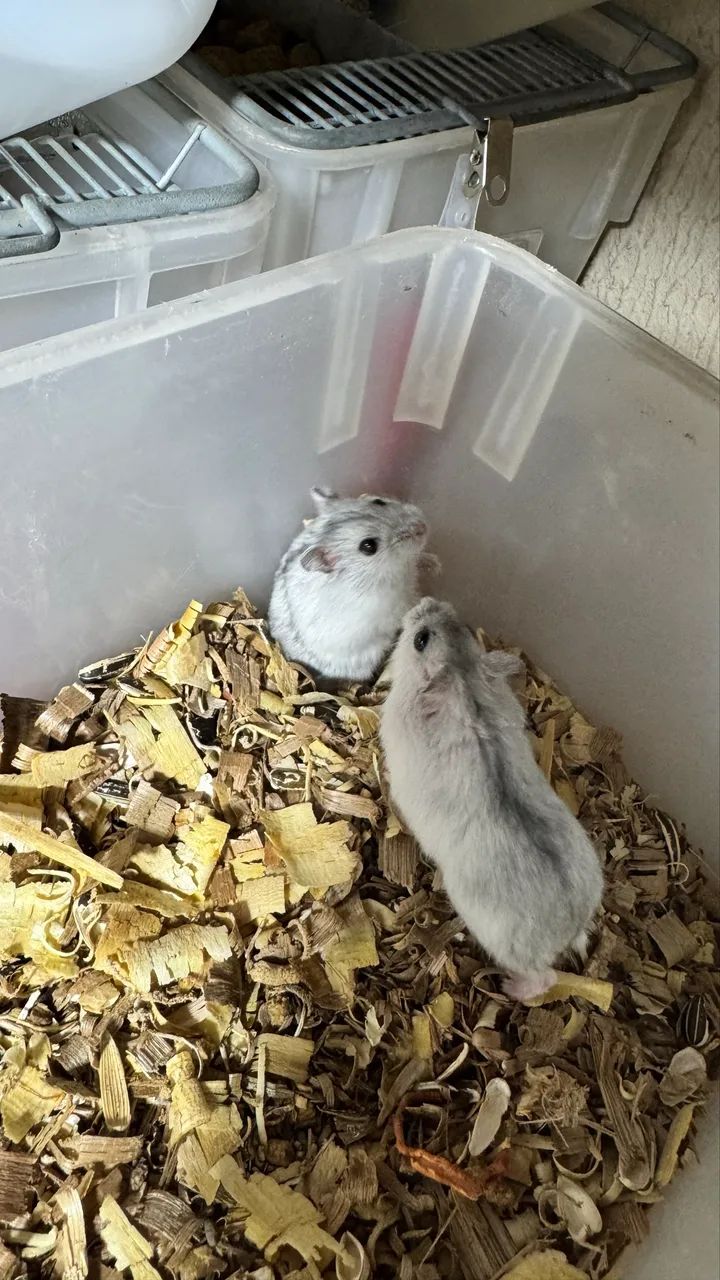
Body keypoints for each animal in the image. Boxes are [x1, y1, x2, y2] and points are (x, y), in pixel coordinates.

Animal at [268, 488, 435, 683]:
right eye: (368, 546)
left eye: (378, 502)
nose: (422, 527)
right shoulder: (390, 609)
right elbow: (408, 607)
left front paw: (435, 565)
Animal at [380, 598, 604, 1001]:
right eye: (468, 627)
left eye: (421, 639)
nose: (426, 601)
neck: (464, 676)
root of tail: (572, 923)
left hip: (505, 945)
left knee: (545, 978)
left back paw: (509, 986)